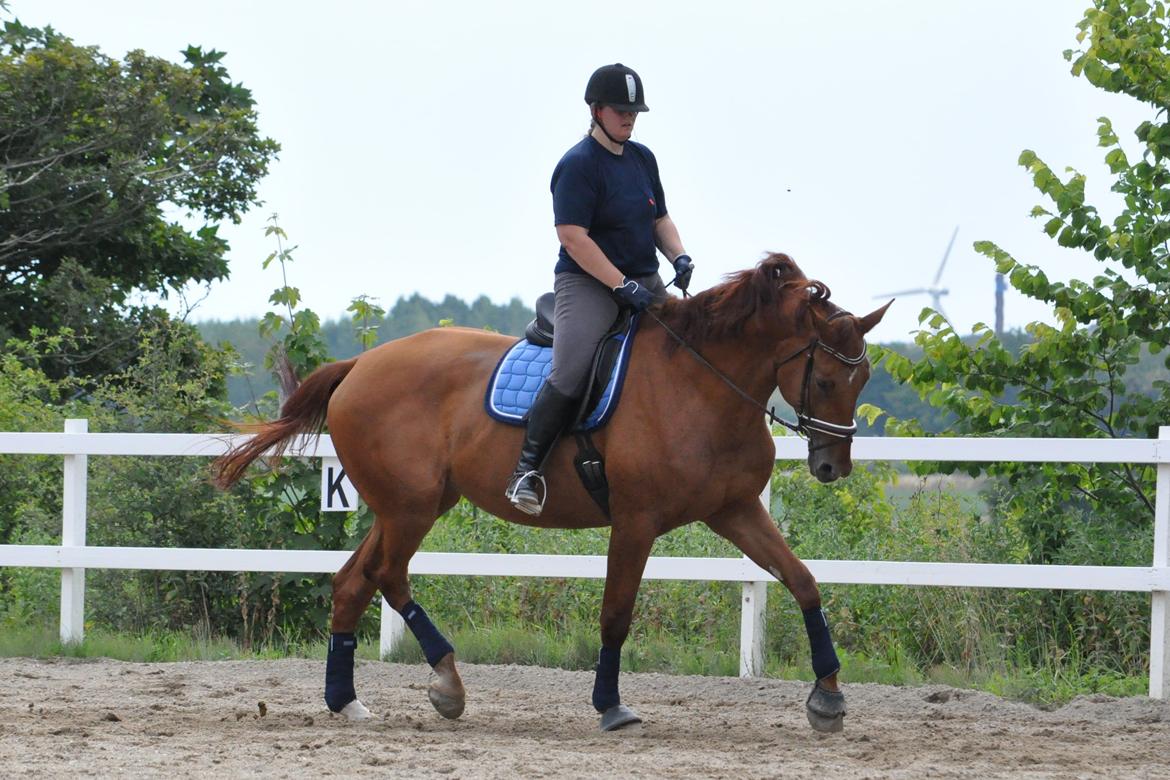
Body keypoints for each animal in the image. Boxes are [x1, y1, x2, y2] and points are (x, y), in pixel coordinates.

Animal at [215, 254, 884, 734]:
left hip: (412, 505)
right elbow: (616, 612)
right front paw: (610, 705)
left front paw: (827, 697)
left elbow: (803, 580)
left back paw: (353, 700)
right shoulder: (636, 521)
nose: (832, 465)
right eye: (827, 379)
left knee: (357, 580)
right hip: (409, 509)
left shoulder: (735, 510)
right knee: (385, 576)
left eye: (864, 379)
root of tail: (360, 365)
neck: (702, 383)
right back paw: (435, 686)